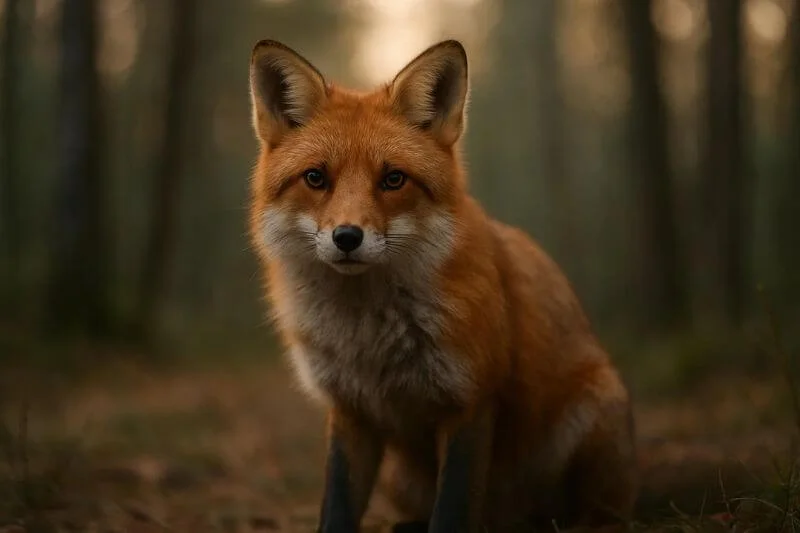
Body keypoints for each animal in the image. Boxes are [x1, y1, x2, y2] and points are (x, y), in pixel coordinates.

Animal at [246, 39, 638, 533]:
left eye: (393, 179)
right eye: (316, 178)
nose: (347, 237)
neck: (367, 337)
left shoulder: (470, 400)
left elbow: (451, 510)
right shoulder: (351, 410)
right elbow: (336, 507)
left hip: (592, 417)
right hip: (400, 478)